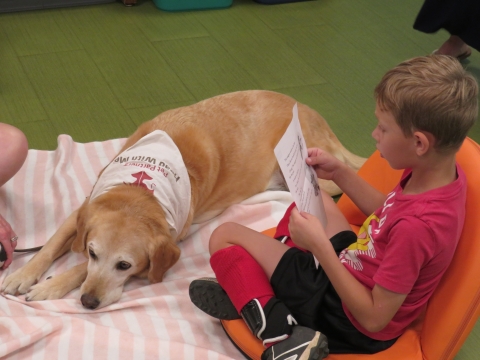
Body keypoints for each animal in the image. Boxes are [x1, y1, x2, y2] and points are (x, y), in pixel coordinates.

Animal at [0, 90, 364, 310]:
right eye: (93, 252)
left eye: (124, 266)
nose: (88, 301)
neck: (140, 192)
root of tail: (313, 114)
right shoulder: (84, 208)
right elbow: (50, 246)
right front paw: (22, 275)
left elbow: (76, 269)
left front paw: (51, 285)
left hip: (310, 174)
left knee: (344, 178)